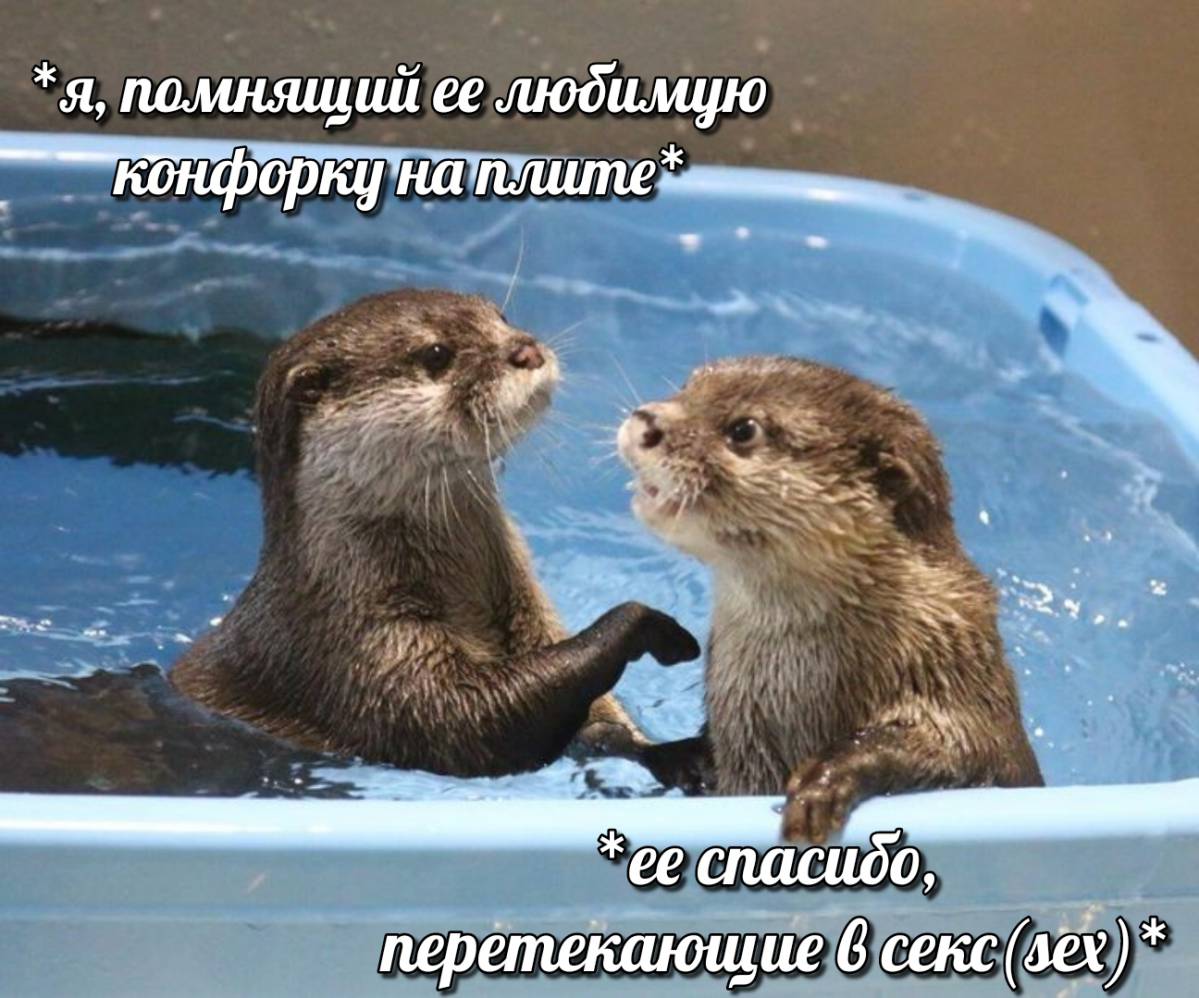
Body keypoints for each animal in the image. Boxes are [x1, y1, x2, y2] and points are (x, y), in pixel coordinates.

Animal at [172, 289, 699, 777]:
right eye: (437, 353)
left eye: (500, 315)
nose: (526, 350)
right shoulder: (357, 652)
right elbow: (469, 720)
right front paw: (646, 625)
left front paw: (664, 752)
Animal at [618, 356, 1042, 842]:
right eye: (690, 385)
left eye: (744, 429)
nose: (647, 419)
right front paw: (686, 757)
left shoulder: (963, 691)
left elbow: (955, 751)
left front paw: (824, 781)